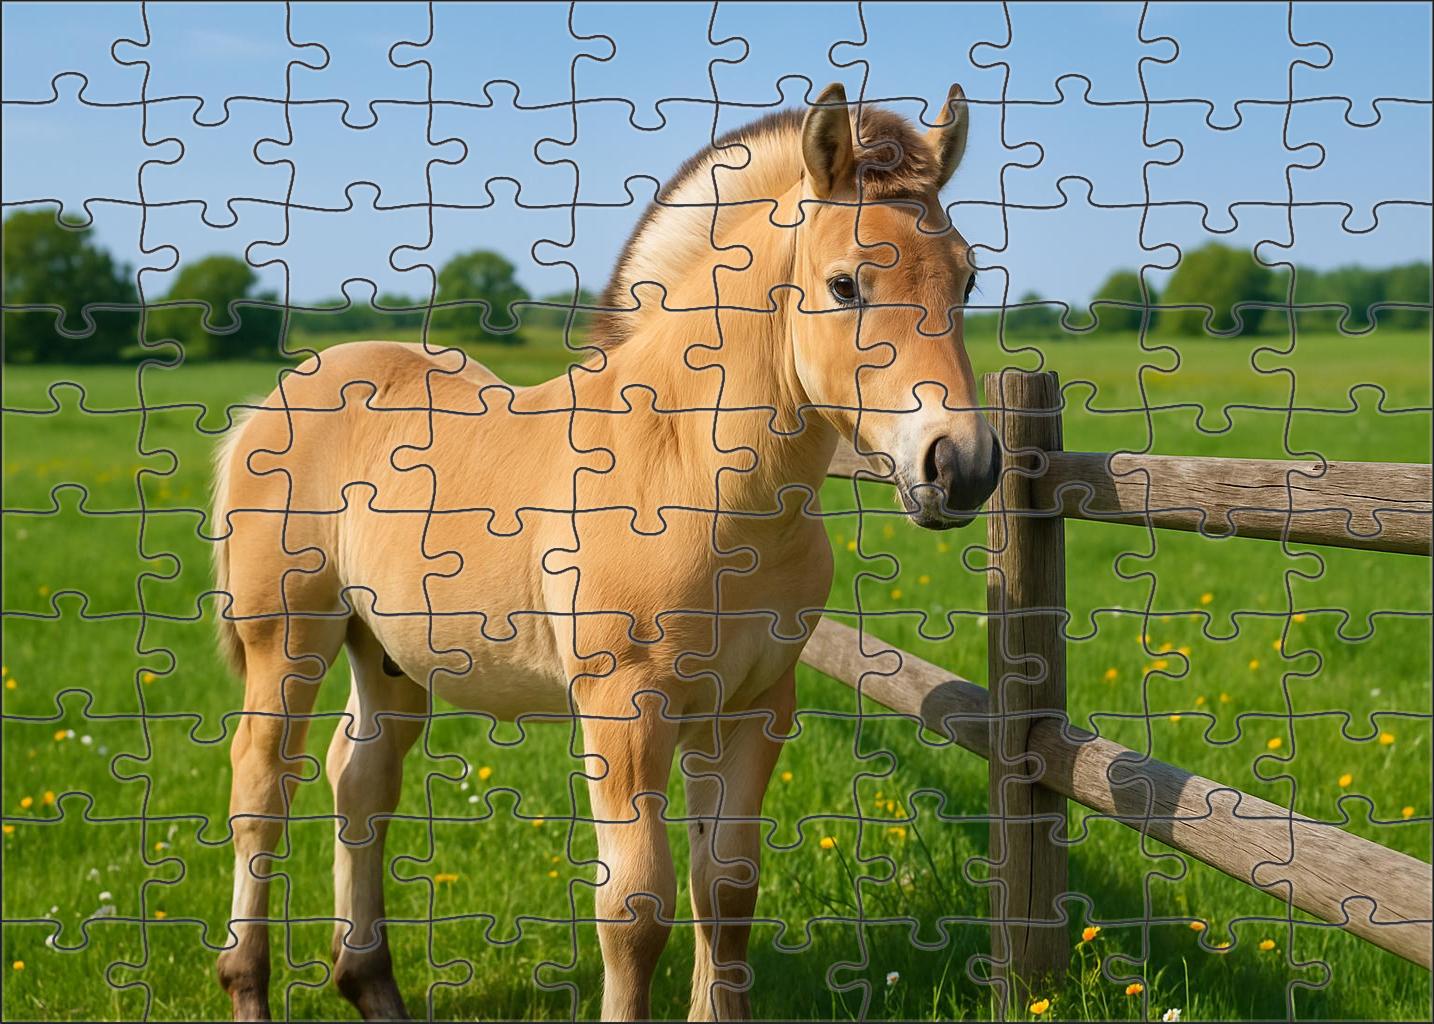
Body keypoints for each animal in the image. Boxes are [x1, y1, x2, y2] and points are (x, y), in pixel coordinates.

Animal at [211, 81, 999, 1022]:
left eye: (968, 277)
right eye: (844, 283)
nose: (961, 466)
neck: (694, 472)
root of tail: (278, 396)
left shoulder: (752, 706)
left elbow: (725, 889)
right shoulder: (625, 709)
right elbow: (635, 906)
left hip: (389, 654)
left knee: (359, 782)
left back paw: (371, 986)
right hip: (287, 640)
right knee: (261, 788)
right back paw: (247, 983)